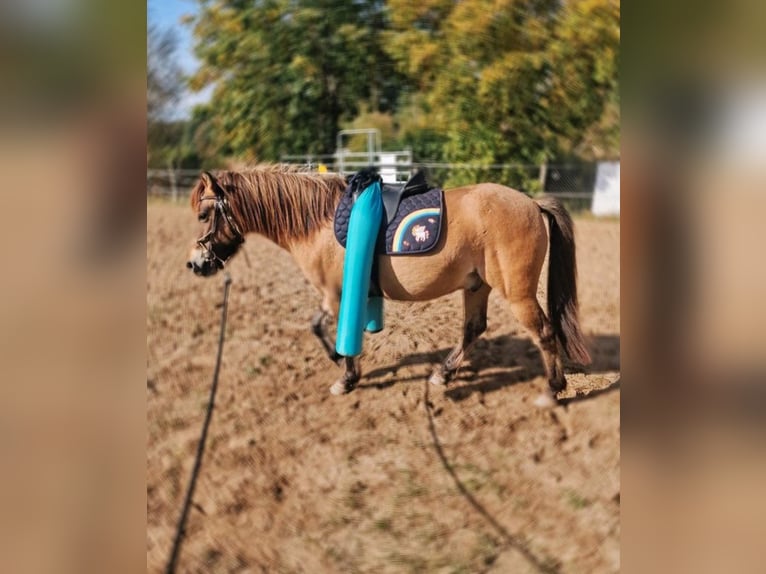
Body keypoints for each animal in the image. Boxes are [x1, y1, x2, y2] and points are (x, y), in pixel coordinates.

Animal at [188, 164, 592, 402]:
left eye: (204, 214)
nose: (195, 263)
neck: (317, 221)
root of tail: (531, 203)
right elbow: (317, 326)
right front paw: (342, 365)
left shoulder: (335, 295)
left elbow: (325, 328)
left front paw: (345, 373)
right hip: (478, 286)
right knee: (474, 328)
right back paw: (443, 374)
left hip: (517, 293)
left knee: (544, 332)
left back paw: (553, 389)